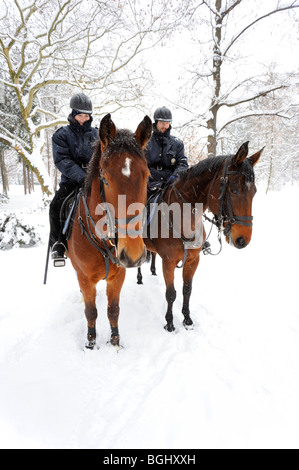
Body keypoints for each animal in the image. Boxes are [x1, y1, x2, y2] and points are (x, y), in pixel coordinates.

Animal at [68, 114, 152, 348]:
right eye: (104, 178)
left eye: (147, 176)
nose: (133, 254)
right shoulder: (85, 278)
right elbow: (91, 312)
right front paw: (90, 343)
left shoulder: (118, 276)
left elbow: (113, 310)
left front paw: (115, 342)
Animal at [140, 141, 262, 332]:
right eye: (234, 190)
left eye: (254, 192)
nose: (243, 240)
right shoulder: (168, 262)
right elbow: (171, 293)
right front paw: (169, 323)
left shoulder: (193, 260)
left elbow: (187, 289)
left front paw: (187, 319)